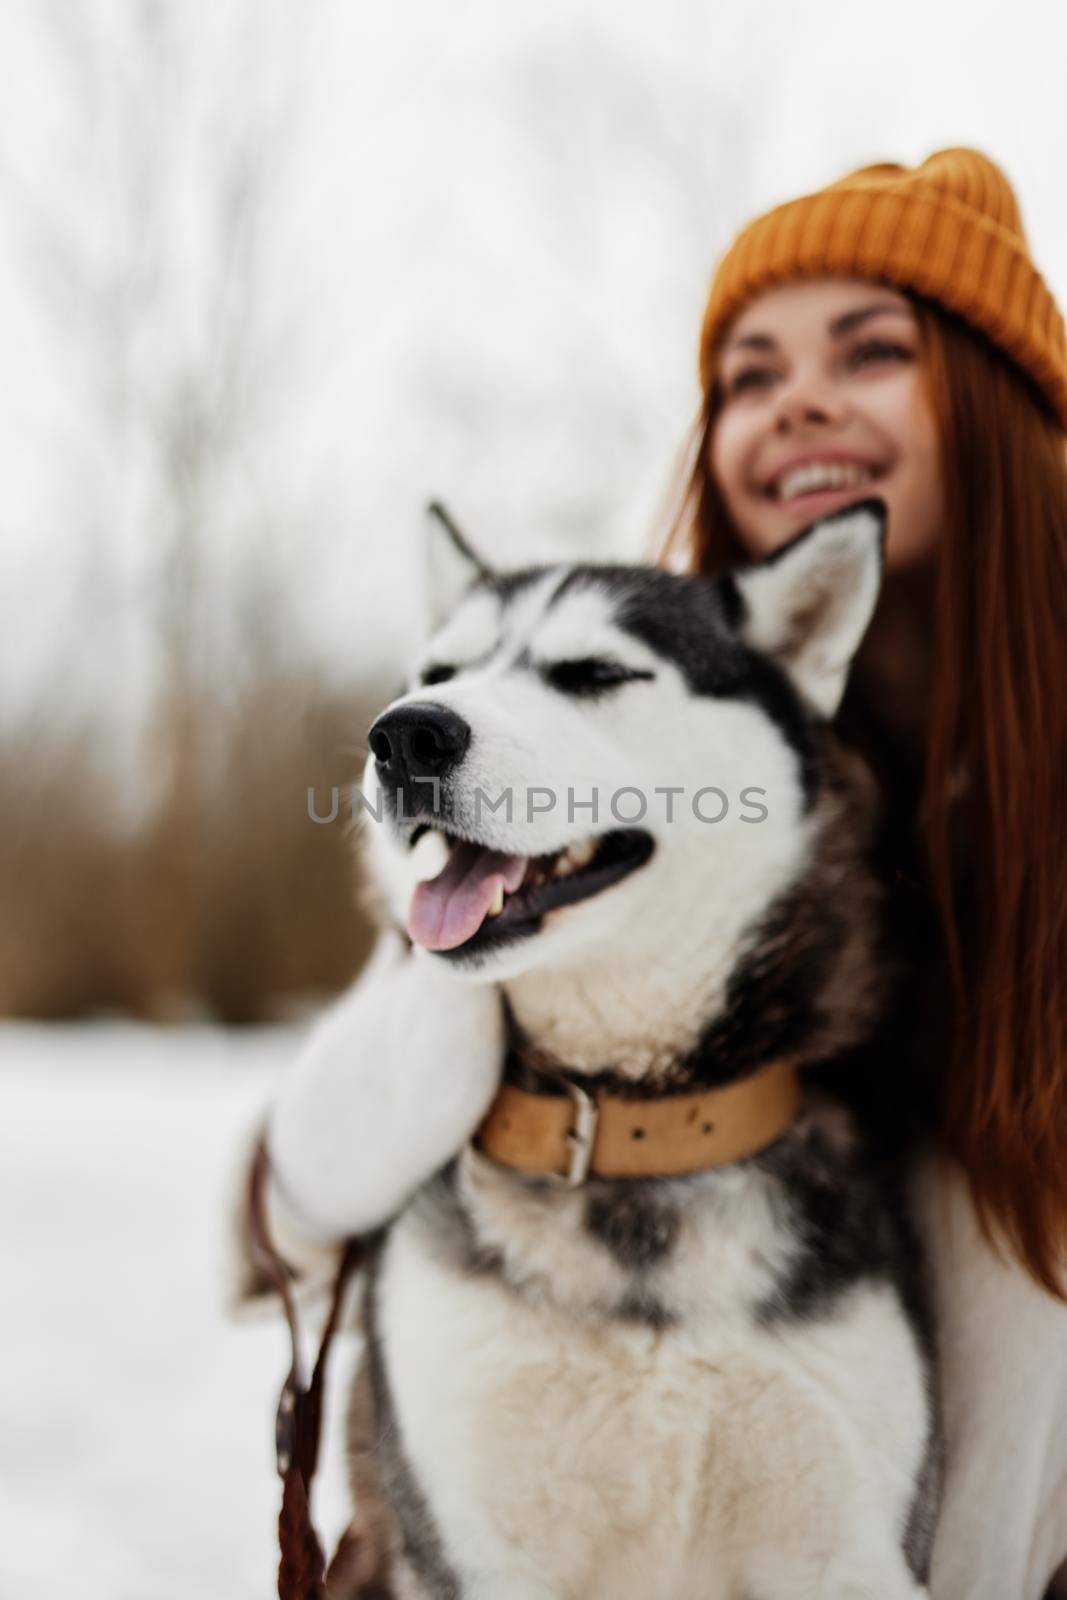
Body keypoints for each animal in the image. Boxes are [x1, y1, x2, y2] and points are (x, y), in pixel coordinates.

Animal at [340, 505, 934, 1600]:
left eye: (593, 673)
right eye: (437, 669)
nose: (405, 733)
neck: (620, 1120)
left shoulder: (851, 1548)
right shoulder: (469, 1548)